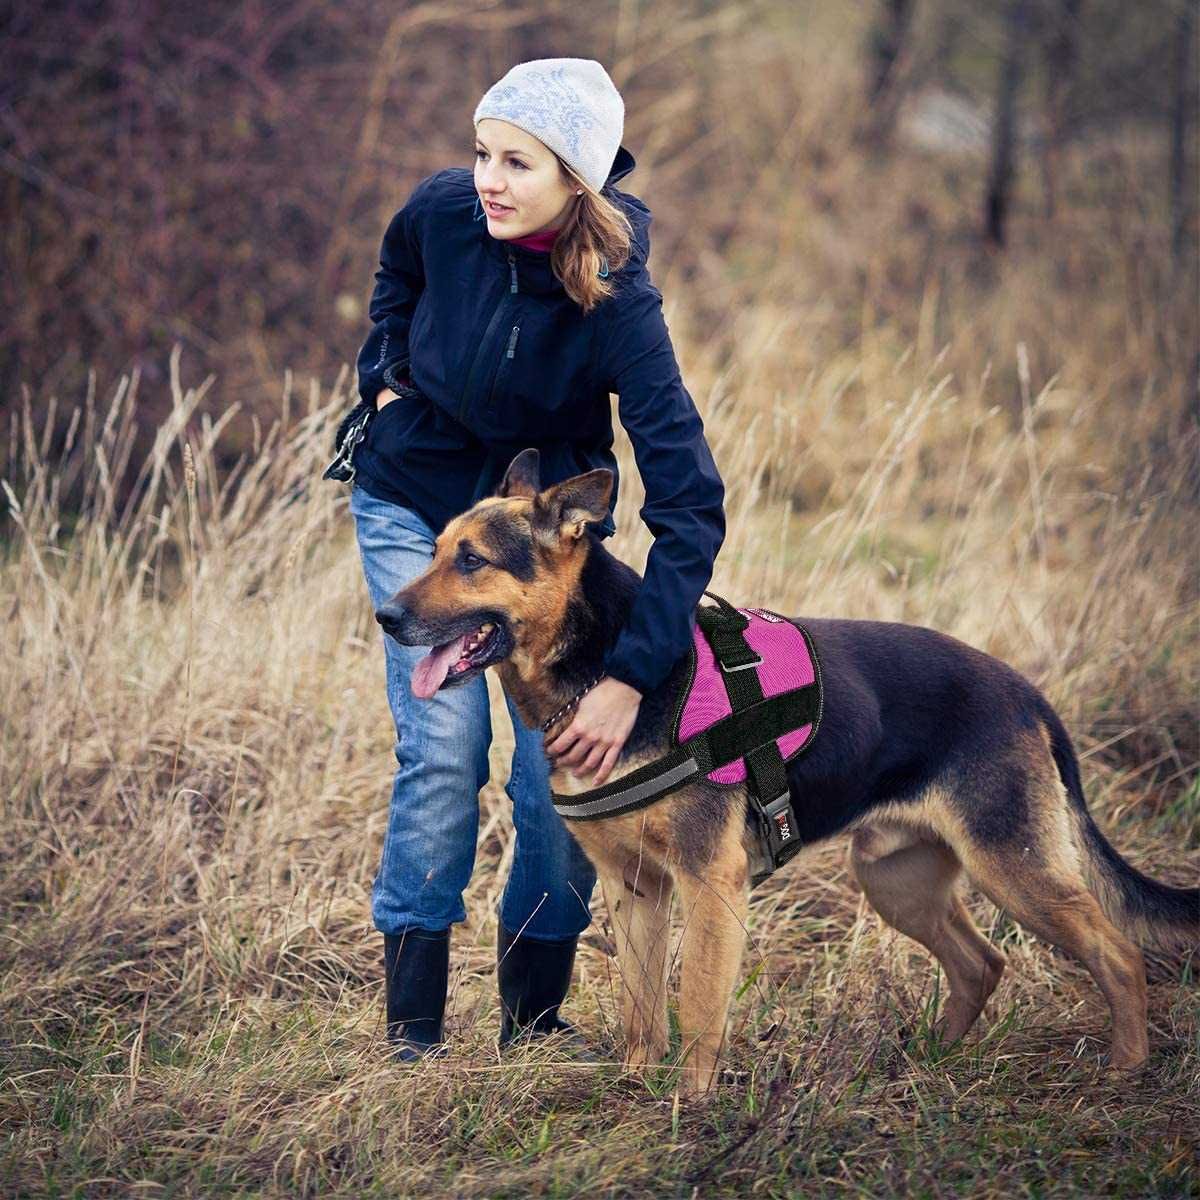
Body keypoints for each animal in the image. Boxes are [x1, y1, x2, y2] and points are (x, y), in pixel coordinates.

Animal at [376, 448, 1200, 1099]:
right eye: (434, 550)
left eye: (472, 560)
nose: (385, 615)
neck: (609, 664)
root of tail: (1027, 694)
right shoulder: (634, 889)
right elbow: (642, 1014)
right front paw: (635, 1092)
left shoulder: (711, 883)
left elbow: (696, 1008)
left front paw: (691, 1109)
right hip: (897, 879)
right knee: (981, 963)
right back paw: (930, 1058)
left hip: (1013, 869)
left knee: (1118, 955)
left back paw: (1125, 1069)